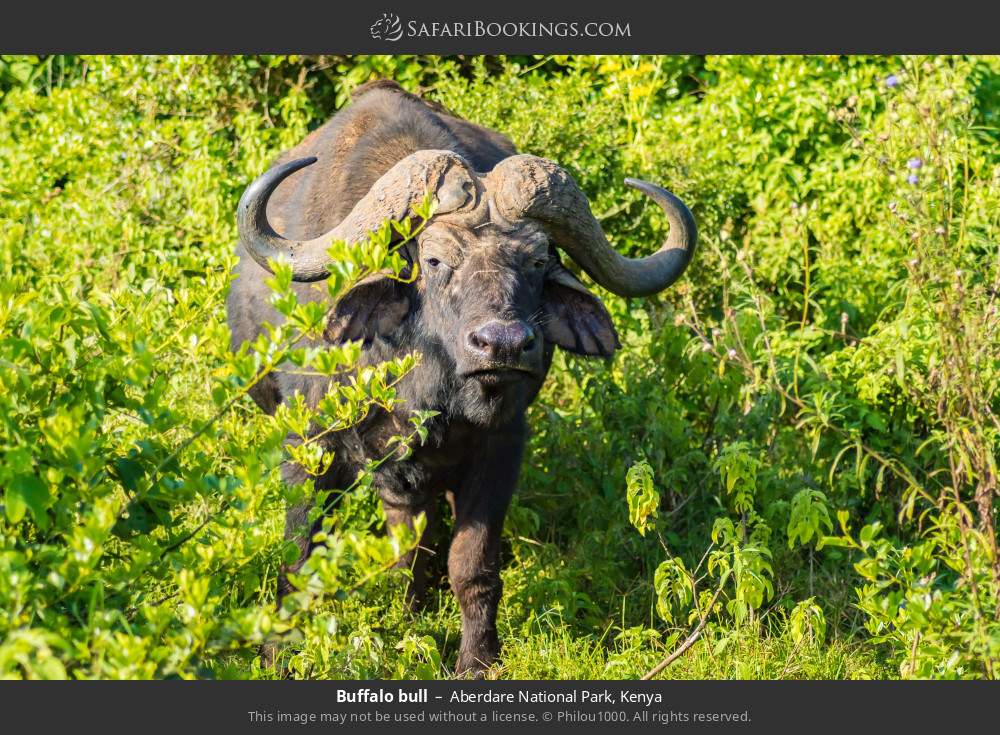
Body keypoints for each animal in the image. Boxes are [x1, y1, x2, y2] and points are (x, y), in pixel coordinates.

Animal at [229, 79, 696, 672]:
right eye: (433, 260)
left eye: (538, 261)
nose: (503, 343)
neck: (417, 380)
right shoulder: (308, 449)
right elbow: (297, 561)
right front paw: (275, 655)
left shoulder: (500, 447)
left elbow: (471, 565)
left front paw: (477, 660)